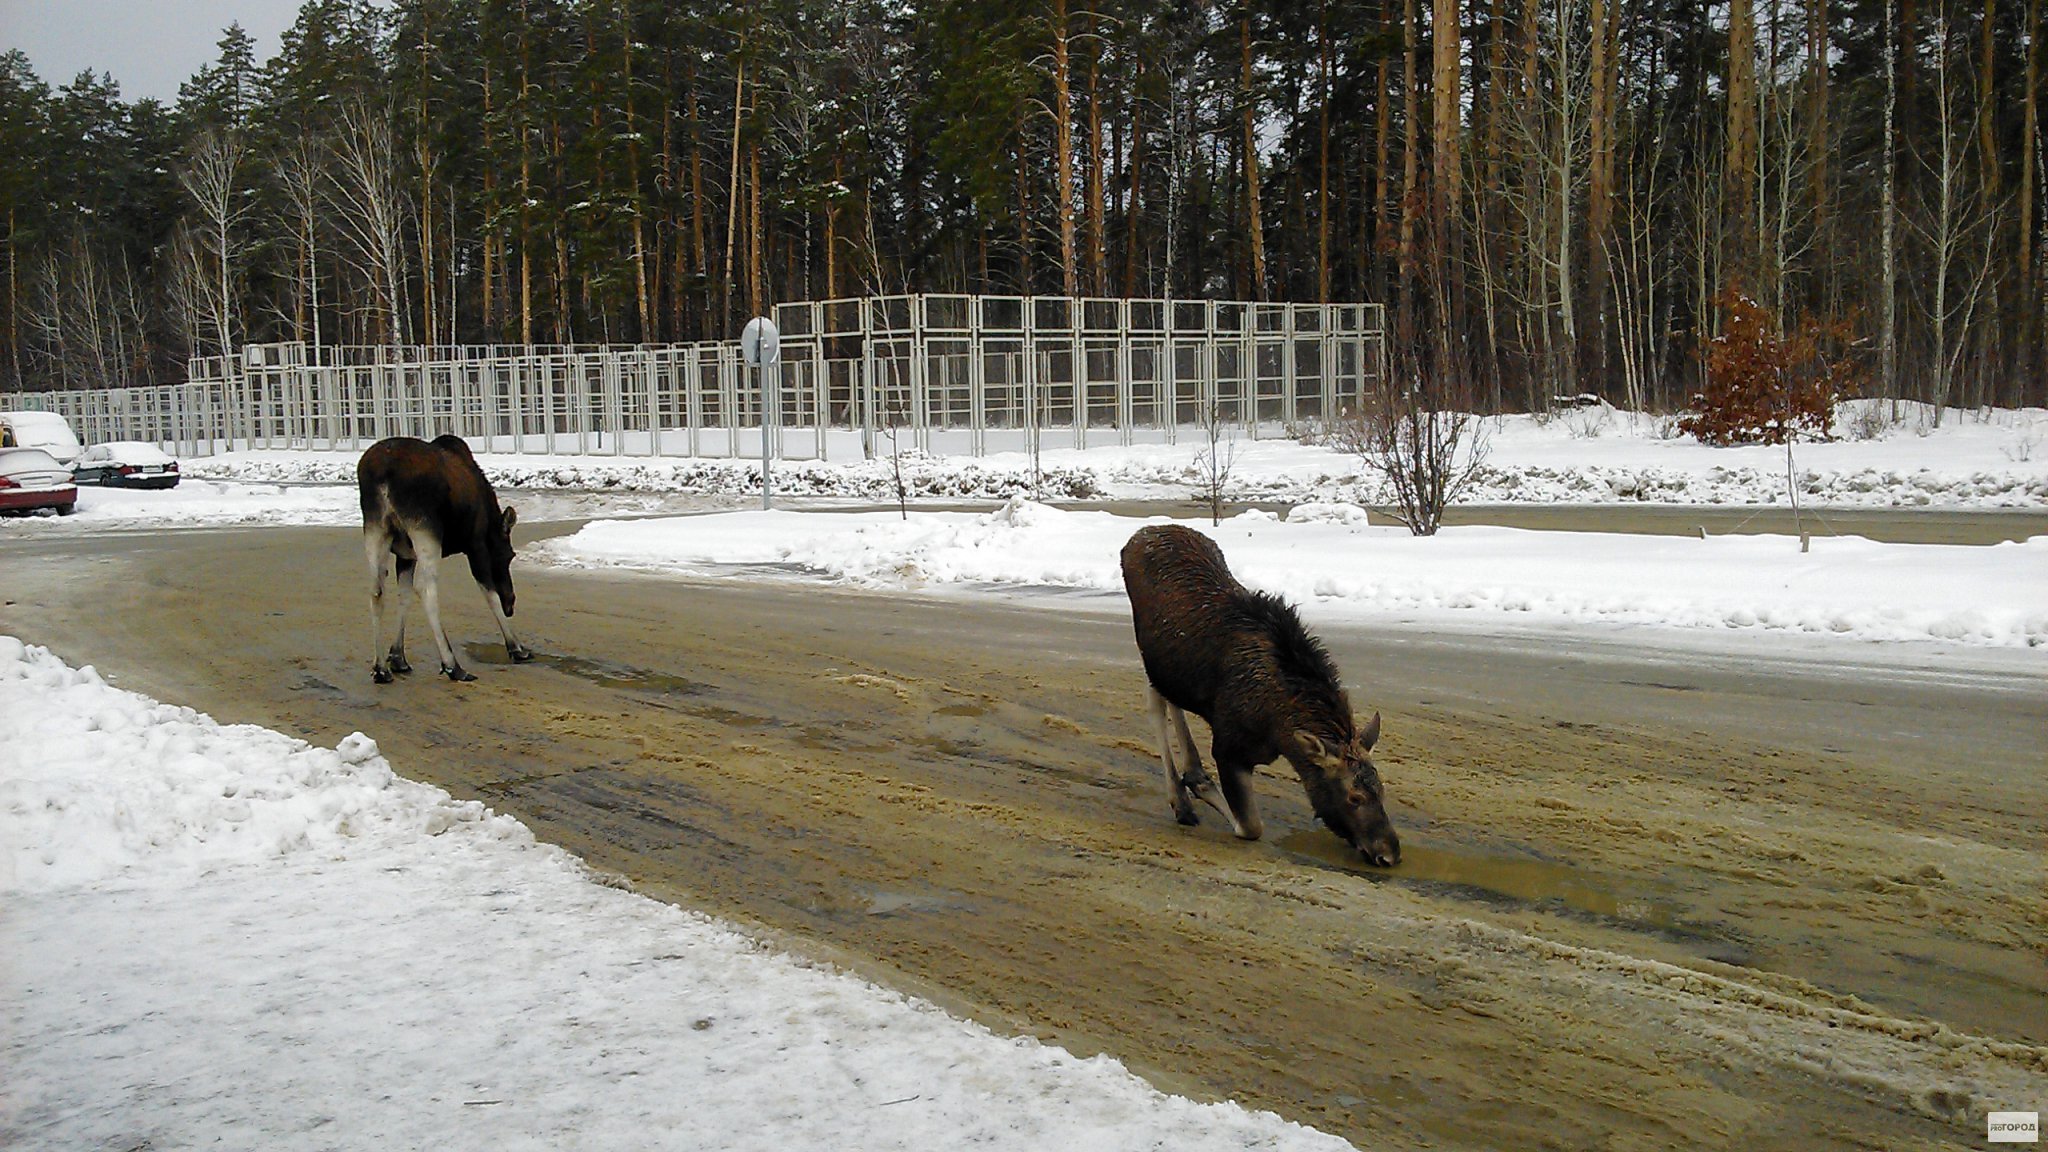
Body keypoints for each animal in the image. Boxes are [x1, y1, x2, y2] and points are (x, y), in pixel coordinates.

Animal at [360, 434, 536, 676]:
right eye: (509, 555)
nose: (510, 604)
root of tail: (383, 472)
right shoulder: (476, 544)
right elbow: (489, 593)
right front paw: (516, 647)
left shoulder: (406, 555)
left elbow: (403, 596)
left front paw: (397, 657)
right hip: (427, 530)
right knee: (426, 588)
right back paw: (452, 664)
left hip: (376, 528)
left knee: (376, 590)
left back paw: (380, 668)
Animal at [1114, 520, 1400, 860]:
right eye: (1354, 797)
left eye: (1382, 789)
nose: (1390, 853)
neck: (1278, 730)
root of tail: (1139, 535)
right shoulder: (1228, 748)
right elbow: (1250, 826)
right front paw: (1201, 787)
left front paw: (1198, 781)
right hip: (1147, 649)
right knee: (1156, 704)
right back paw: (1182, 799)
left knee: (1171, 699)